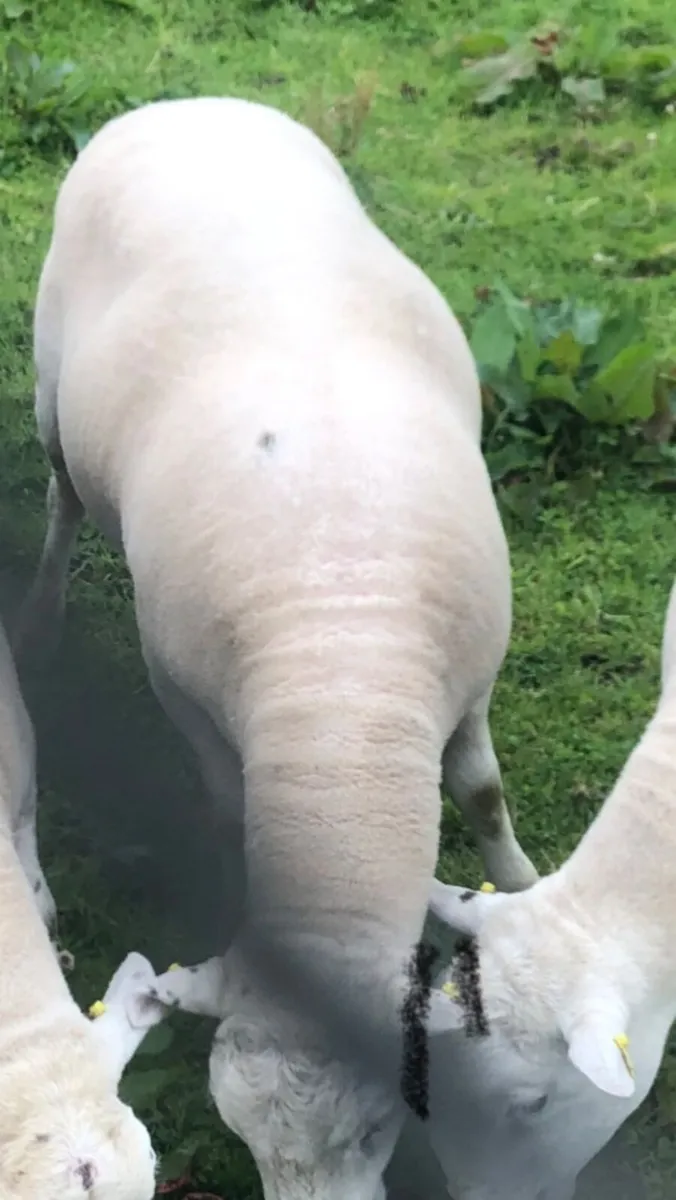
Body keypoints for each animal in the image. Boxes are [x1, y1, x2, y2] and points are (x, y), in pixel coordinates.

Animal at [17, 94, 538, 1199]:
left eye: (385, 1128)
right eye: (240, 1135)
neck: (343, 682)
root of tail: (186, 102)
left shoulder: (472, 676)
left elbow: (479, 791)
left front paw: (518, 886)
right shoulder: (186, 697)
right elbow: (225, 807)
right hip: (48, 395)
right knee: (62, 498)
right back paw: (38, 613)